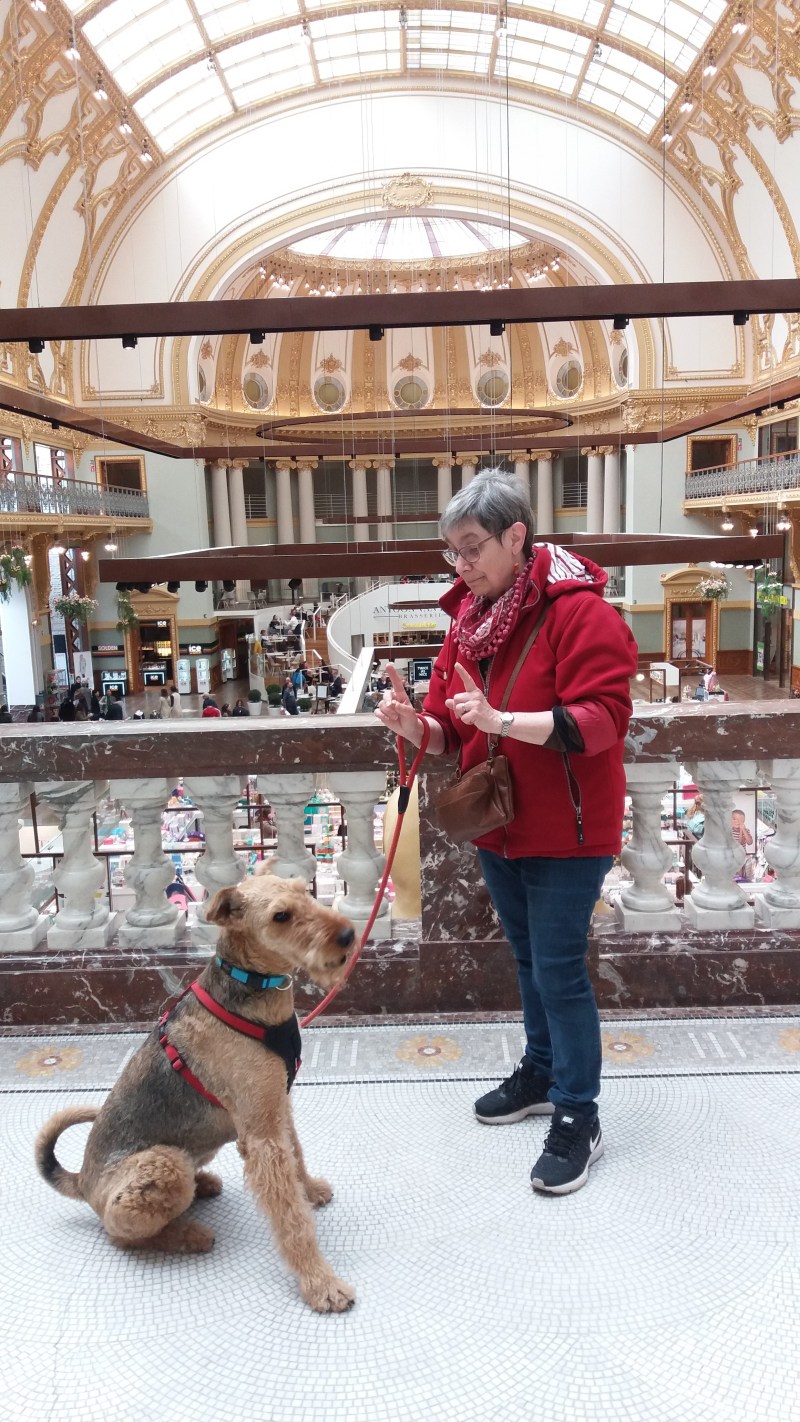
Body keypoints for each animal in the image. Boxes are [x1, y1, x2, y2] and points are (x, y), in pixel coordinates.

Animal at [35, 867, 357, 1314]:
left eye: (304, 892)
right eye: (280, 915)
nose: (347, 934)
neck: (253, 996)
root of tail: (81, 1180)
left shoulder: (277, 1106)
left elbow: (298, 1158)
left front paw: (310, 1190)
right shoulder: (262, 1135)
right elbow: (292, 1219)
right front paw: (321, 1283)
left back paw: (203, 1186)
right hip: (162, 1165)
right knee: (119, 1232)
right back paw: (190, 1234)